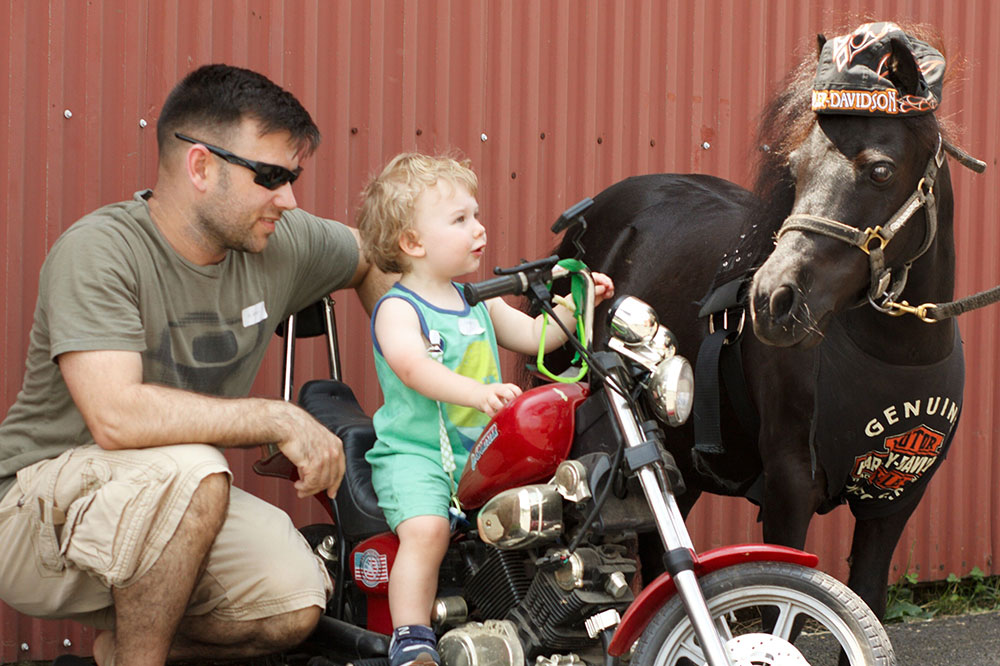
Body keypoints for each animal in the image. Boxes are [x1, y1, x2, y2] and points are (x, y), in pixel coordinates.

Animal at [548, 31, 976, 616]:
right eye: (794, 169)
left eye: (881, 170)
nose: (773, 299)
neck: (896, 352)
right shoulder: (788, 491)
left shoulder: (892, 502)